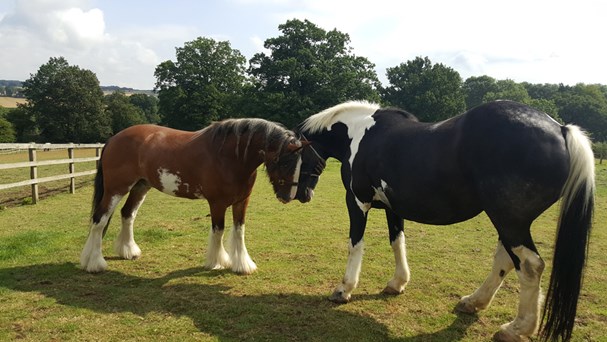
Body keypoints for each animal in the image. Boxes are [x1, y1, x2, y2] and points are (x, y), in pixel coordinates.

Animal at [81, 118, 306, 276]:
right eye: (286, 162)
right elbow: (219, 231)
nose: (289, 197)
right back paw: (94, 263)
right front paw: (217, 262)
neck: (230, 156)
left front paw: (242, 265)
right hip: (115, 189)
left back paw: (128, 251)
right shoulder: (217, 203)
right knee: (99, 220)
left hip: (140, 186)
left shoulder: (242, 202)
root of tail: (113, 138)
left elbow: (239, 231)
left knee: (127, 214)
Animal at [296, 100, 596, 340]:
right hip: (507, 222)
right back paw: (474, 302)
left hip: (511, 222)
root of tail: (561, 130)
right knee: (506, 260)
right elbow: (397, 242)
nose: (301, 196)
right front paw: (397, 283)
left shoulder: (357, 202)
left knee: (530, 266)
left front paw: (344, 289)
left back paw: (516, 328)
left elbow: (355, 244)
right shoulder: (394, 208)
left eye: (294, 154)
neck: (360, 133)